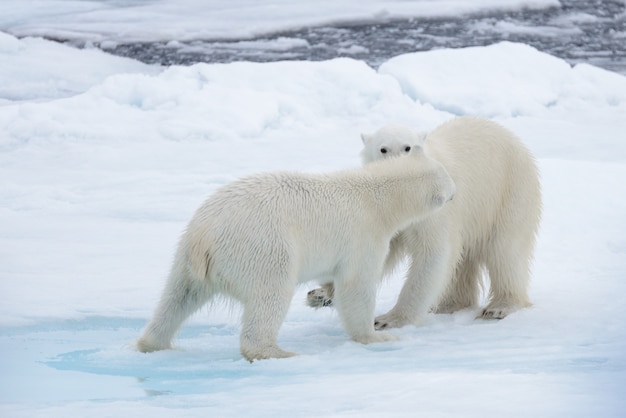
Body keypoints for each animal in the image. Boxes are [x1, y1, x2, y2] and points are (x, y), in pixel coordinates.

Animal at [136, 152, 454, 360]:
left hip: (185, 255)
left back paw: (153, 343)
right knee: (270, 295)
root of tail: (203, 236)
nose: (455, 192)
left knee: (177, 297)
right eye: (449, 181)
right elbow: (356, 286)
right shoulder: (364, 234)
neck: (376, 197)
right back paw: (279, 352)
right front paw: (377, 335)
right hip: (262, 247)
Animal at [308, 116, 540, 326]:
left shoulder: (434, 207)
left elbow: (434, 252)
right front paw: (321, 293)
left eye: (407, 147)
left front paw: (389, 319)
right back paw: (450, 304)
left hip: (509, 192)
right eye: (383, 149)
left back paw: (499, 307)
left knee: (505, 251)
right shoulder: (386, 211)